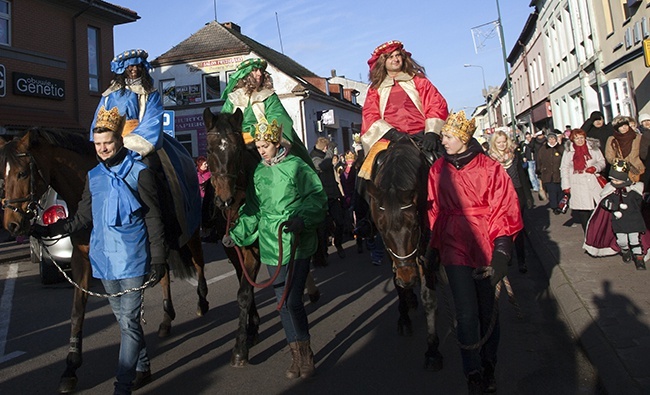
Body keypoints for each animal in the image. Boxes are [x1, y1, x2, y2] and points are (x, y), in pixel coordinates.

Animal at [0, 128, 208, 394]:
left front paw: (138, 365)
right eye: (2, 175)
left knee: (199, 262)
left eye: (23, 173)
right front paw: (70, 368)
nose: (12, 225)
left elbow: (131, 311)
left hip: (190, 232)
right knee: (164, 277)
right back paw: (165, 320)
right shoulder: (82, 257)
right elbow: (78, 310)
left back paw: (202, 302)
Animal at [362, 138, 442, 372]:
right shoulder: (392, 255)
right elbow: (397, 287)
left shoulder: (424, 244)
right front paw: (404, 319)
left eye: (414, 225)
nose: (407, 278)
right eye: (381, 228)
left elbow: (429, 297)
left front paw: (432, 349)